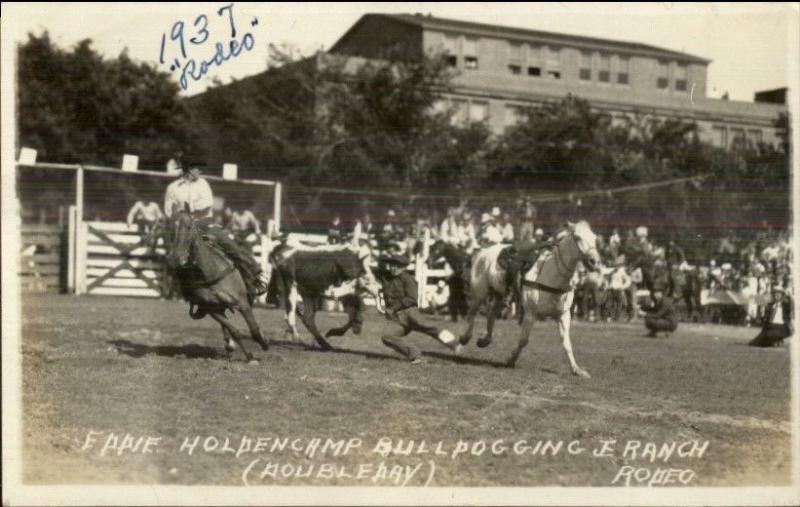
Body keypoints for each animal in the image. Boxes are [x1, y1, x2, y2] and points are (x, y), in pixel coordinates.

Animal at [167, 212, 270, 364]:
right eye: (172, 230)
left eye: (189, 226)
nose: (177, 258)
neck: (210, 271)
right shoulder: (212, 309)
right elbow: (234, 331)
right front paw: (249, 355)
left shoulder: (243, 303)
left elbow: (254, 331)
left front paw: (264, 343)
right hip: (220, 307)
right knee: (226, 327)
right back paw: (229, 346)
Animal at [456, 222, 600, 378]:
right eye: (577, 237)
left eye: (595, 238)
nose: (594, 262)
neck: (552, 275)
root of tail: (482, 252)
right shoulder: (530, 314)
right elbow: (524, 340)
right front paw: (511, 359)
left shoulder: (563, 315)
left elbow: (567, 343)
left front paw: (577, 369)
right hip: (480, 294)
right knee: (472, 313)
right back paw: (464, 338)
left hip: (500, 294)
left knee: (491, 314)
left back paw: (485, 340)